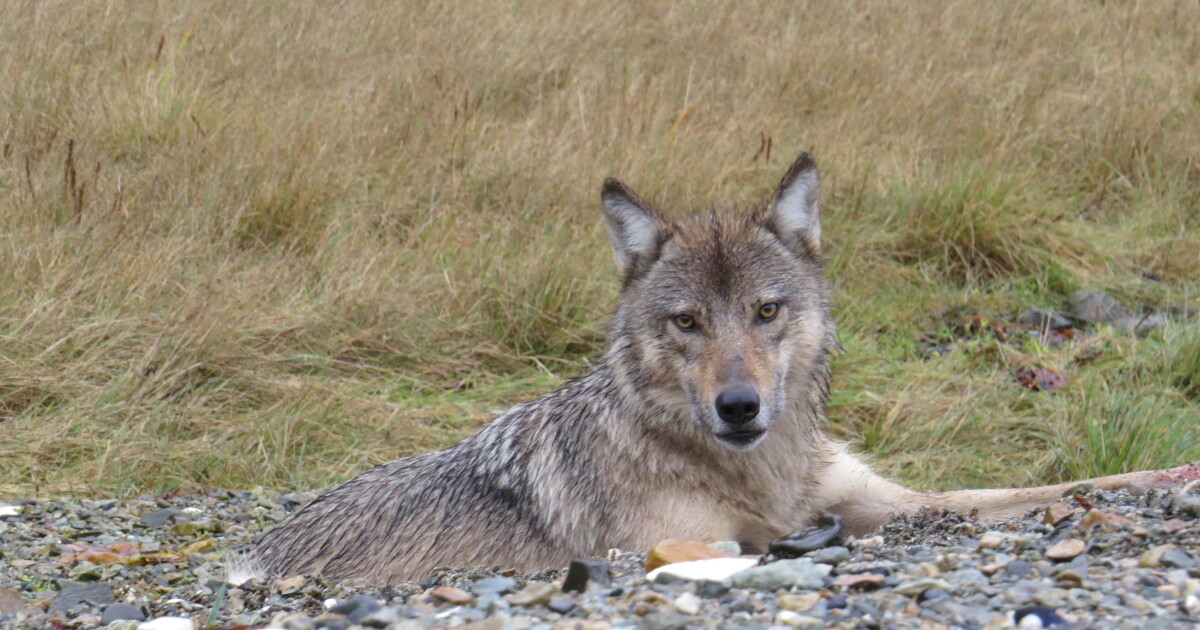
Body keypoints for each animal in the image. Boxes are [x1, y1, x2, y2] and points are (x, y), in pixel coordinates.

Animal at [250, 152, 1200, 585]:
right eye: (688, 322)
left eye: (766, 313)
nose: (738, 406)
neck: (758, 474)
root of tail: (259, 548)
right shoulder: (676, 543)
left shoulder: (883, 498)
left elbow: (1045, 488)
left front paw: (1171, 476)